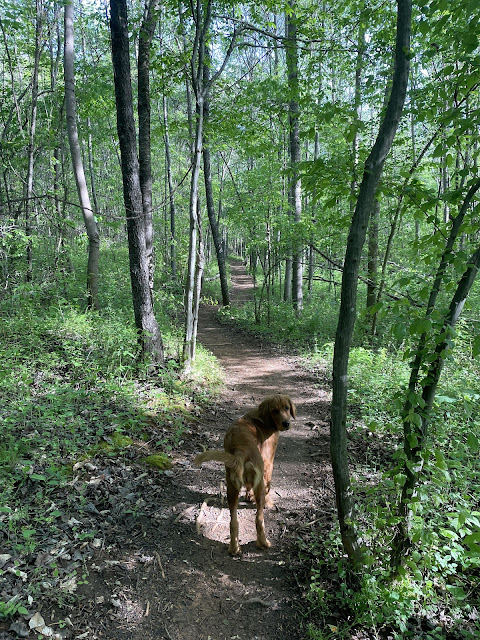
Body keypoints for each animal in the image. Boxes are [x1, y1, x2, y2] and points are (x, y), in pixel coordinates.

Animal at [193, 392, 294, 552]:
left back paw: (234, 549)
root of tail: (241, 450)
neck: (264, 420)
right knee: (258, 518)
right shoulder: (268, 463)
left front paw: (248, 496)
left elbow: (248, 488)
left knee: (233, 522)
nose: (286, 423)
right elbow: (268, 487)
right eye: (275, 410)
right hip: (257, 485)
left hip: (231, 488)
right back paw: (263, 543)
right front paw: (269, 503)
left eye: (287, 408)